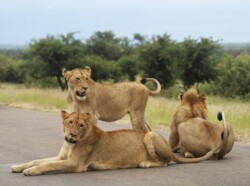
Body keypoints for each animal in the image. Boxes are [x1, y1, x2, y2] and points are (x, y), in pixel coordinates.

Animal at [12, 110, 222, 176]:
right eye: (70, 122)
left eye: (81, 125)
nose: (71, 134)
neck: (71, 143)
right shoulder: (62, 157)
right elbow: (38, 160)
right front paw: (18, 166)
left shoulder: (75, 164)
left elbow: (47, 165)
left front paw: (30, 171)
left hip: (149, 136)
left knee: (165, 161)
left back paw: (145, 163)